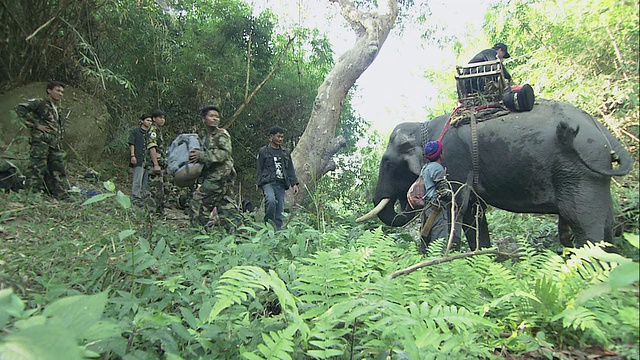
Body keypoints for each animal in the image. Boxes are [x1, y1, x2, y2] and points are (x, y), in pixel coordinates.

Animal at [358, 98, 632, 250]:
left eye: (388, 163)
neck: (424, 126)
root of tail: (604, 132)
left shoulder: (455, 160)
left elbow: (456, 206)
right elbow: (474, 214)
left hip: (579, 172)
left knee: (584, 222)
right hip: (591, 175)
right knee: (605, 222)